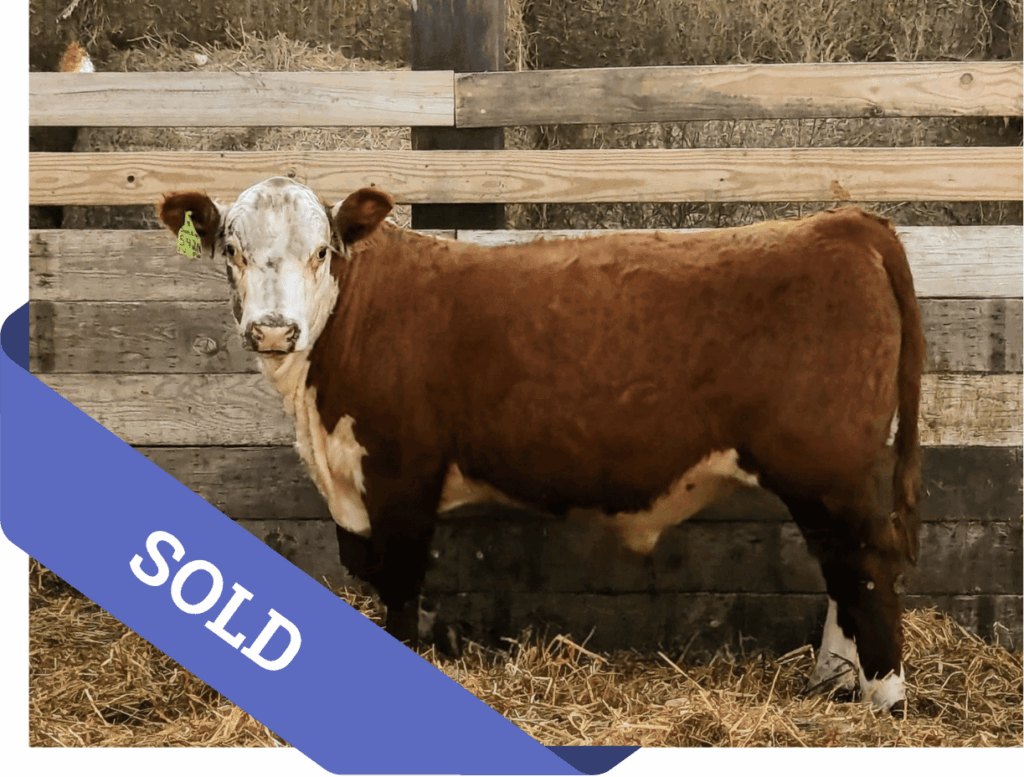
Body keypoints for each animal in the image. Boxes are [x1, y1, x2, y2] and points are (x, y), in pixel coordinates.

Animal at [158, 177, 925, 715]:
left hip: (827, 466)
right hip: (828, 477)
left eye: (321, 252)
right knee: (843, 570)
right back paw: (834, 683)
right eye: (231, 252)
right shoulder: (353, 488)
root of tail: (844, 223)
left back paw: (884, 698)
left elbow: (398, 588)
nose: (273, 329)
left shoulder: (403, 476)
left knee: (867, 565)